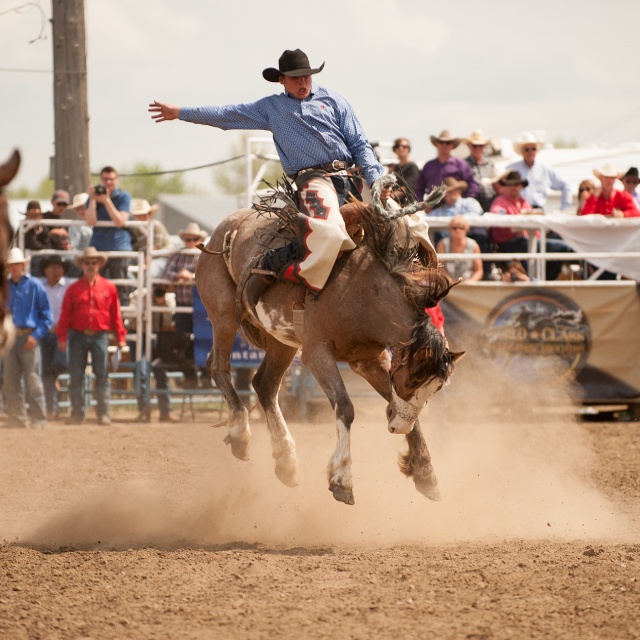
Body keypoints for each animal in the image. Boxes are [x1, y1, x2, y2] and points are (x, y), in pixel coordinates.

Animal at [198, 176, 462, 504]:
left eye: (435, 388)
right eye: (411, 380)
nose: (398, 427)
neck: (361, 291)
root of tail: (224, 229)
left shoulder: (370, 359)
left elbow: (395, 404)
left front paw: (425, 473)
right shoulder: (317, 354)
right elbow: (346, 408)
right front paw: (342, 480)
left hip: (283, 341)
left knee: (264, 385)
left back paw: (286, 462)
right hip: (224, 316)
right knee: (219, 367)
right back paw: (241, 435)